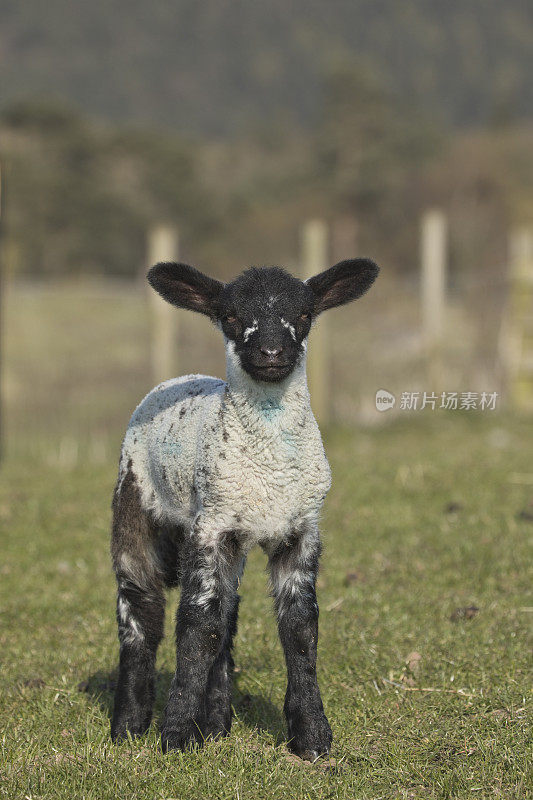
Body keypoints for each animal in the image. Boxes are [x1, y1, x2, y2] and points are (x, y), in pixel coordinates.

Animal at [110, 258, 378, 764]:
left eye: (304, 314)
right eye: (231, 317)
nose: (272, 351)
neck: (269, 472)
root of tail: (175, 380)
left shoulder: (301, 531)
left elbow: (299, 626)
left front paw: (312, 737)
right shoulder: (209, 527)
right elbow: (197, 627)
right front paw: (177, 735)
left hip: (234, 542)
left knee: (228, 613)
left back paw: (217, 723)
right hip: (134, 502)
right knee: (141, 611)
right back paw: (128, 727)